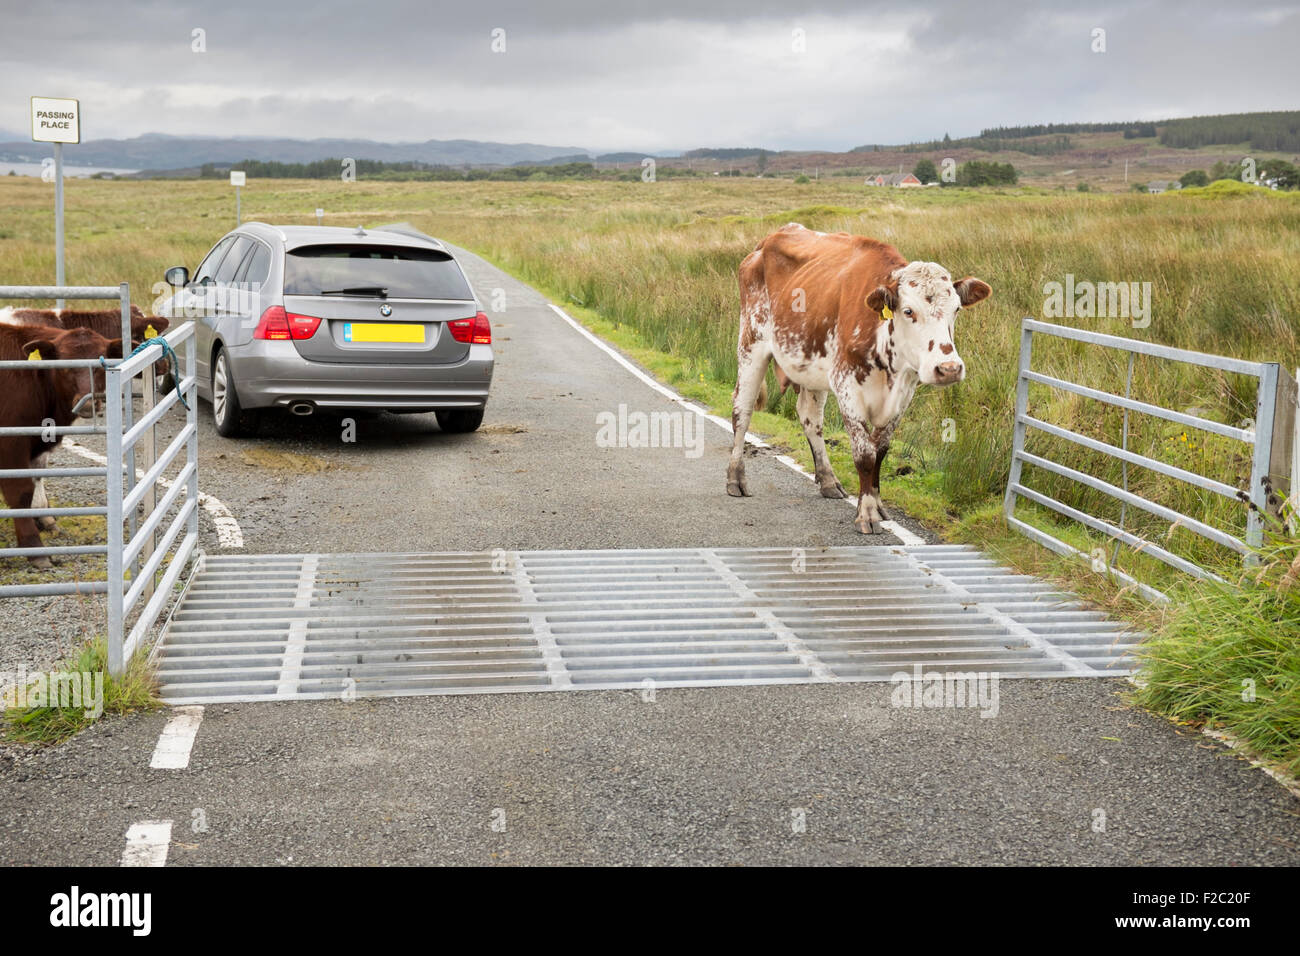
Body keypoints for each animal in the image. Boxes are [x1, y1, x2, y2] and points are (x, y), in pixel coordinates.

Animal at [0, 327, 122, 564]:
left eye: (99, 365)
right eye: (66, 366)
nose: (88, 402)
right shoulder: (11, 444)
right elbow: (21, 492)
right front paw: (33, 546)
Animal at [728, 226, 987, 538]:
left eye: (956, 310)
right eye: (908, 311)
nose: (948, 368)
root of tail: (768, 240)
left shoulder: (904, 393)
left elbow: (881, 450)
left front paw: (877, 504)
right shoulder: (846, 385)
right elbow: (864, 454)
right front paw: (867, 514)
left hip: (811, 367)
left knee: (810, 418)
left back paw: (828, 480)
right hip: (751, 345)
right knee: (742, 411)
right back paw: (735, 478)